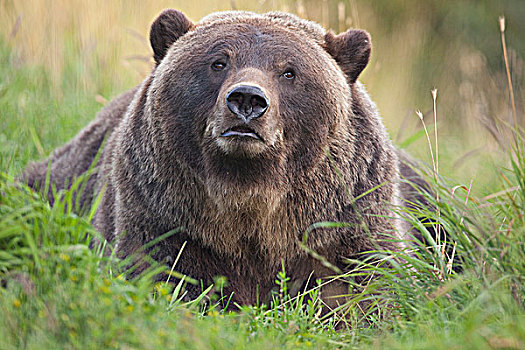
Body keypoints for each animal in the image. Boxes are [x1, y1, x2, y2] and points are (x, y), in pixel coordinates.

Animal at [23, 8, 422, 308]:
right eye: (218, 62)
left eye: (289, 71)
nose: (247, 99)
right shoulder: (163, 216)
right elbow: (162, 273)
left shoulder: (344, 223)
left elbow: (364, 285)